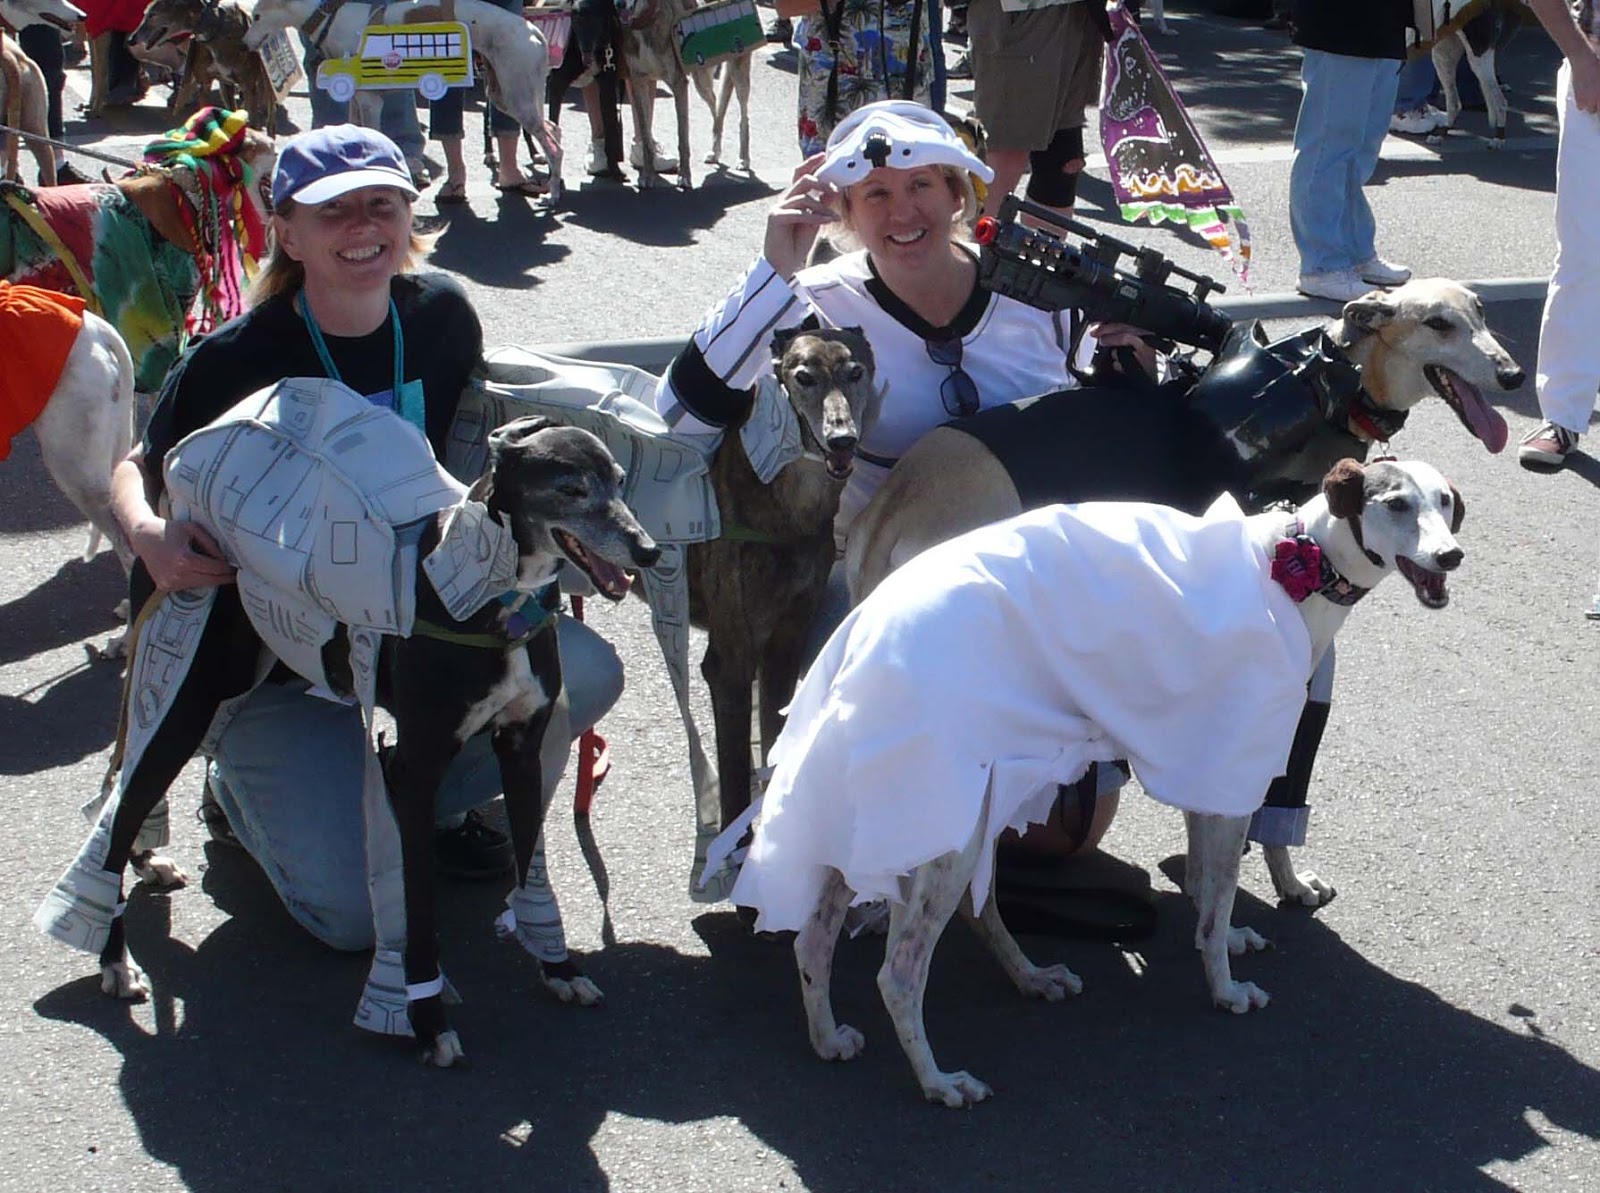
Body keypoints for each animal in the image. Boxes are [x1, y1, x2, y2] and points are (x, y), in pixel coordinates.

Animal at [131, 0, 279, 133]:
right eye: (145, 13)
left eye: (152, 15)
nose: (131, 40)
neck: (216, 27)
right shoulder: (205, 84)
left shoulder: (248, 86)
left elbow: (253, 123)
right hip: (227, 86)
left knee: (270, 118)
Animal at [244, 0, 565, 202]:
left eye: (257, 16)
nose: (245, 45)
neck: (329, 19)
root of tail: (533, 31)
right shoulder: (357, 100)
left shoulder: (371, 101)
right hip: (508, 94)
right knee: (554, 130)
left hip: (515, 94)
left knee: (554, 147)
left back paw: (554, 196)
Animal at [685, 326, 878, 833]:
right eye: (803, 376)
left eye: (856, 372)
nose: (842, 440)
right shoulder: (729, 664)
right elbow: (734, 785)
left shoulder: (786, 643)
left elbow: (774, 743)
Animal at [747, 458, 1465, 1106]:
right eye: (1396, 503)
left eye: (1446, 502)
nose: (1451, 555)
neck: (1294, 566)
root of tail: (862, 623)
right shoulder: (1229, 759)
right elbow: (1218, 895)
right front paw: (1226, 989)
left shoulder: (1206, 758)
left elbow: (1208, 883)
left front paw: (1230, 937)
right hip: (945, 827)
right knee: (899, 972)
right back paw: (939, 1081)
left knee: (826, 932)